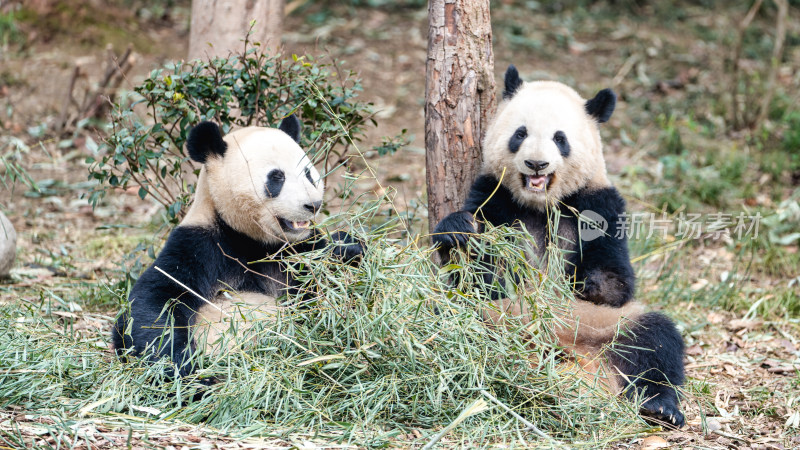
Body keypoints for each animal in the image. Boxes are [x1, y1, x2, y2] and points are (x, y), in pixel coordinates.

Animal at [112, 116, 362, 380]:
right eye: (277, 177)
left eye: (307, 173)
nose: (312, 205)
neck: (249, 238)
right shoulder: (199, 246)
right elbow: (154, 302)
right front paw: (186, 369)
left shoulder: (296, 251)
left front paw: (348, 249)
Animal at [434, 65, 684, 428]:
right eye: (520, 133)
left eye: (560, 138)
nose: (536, 164)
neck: (541, 203)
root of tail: (567, 351)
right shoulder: (494, 197)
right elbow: (479, 276)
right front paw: (457, 231)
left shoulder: (600, 204)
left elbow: (620, 278)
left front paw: (591, 283)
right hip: (495, 317)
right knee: (452, 318)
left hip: (607, 324)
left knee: (656, 341)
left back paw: (661, 407)